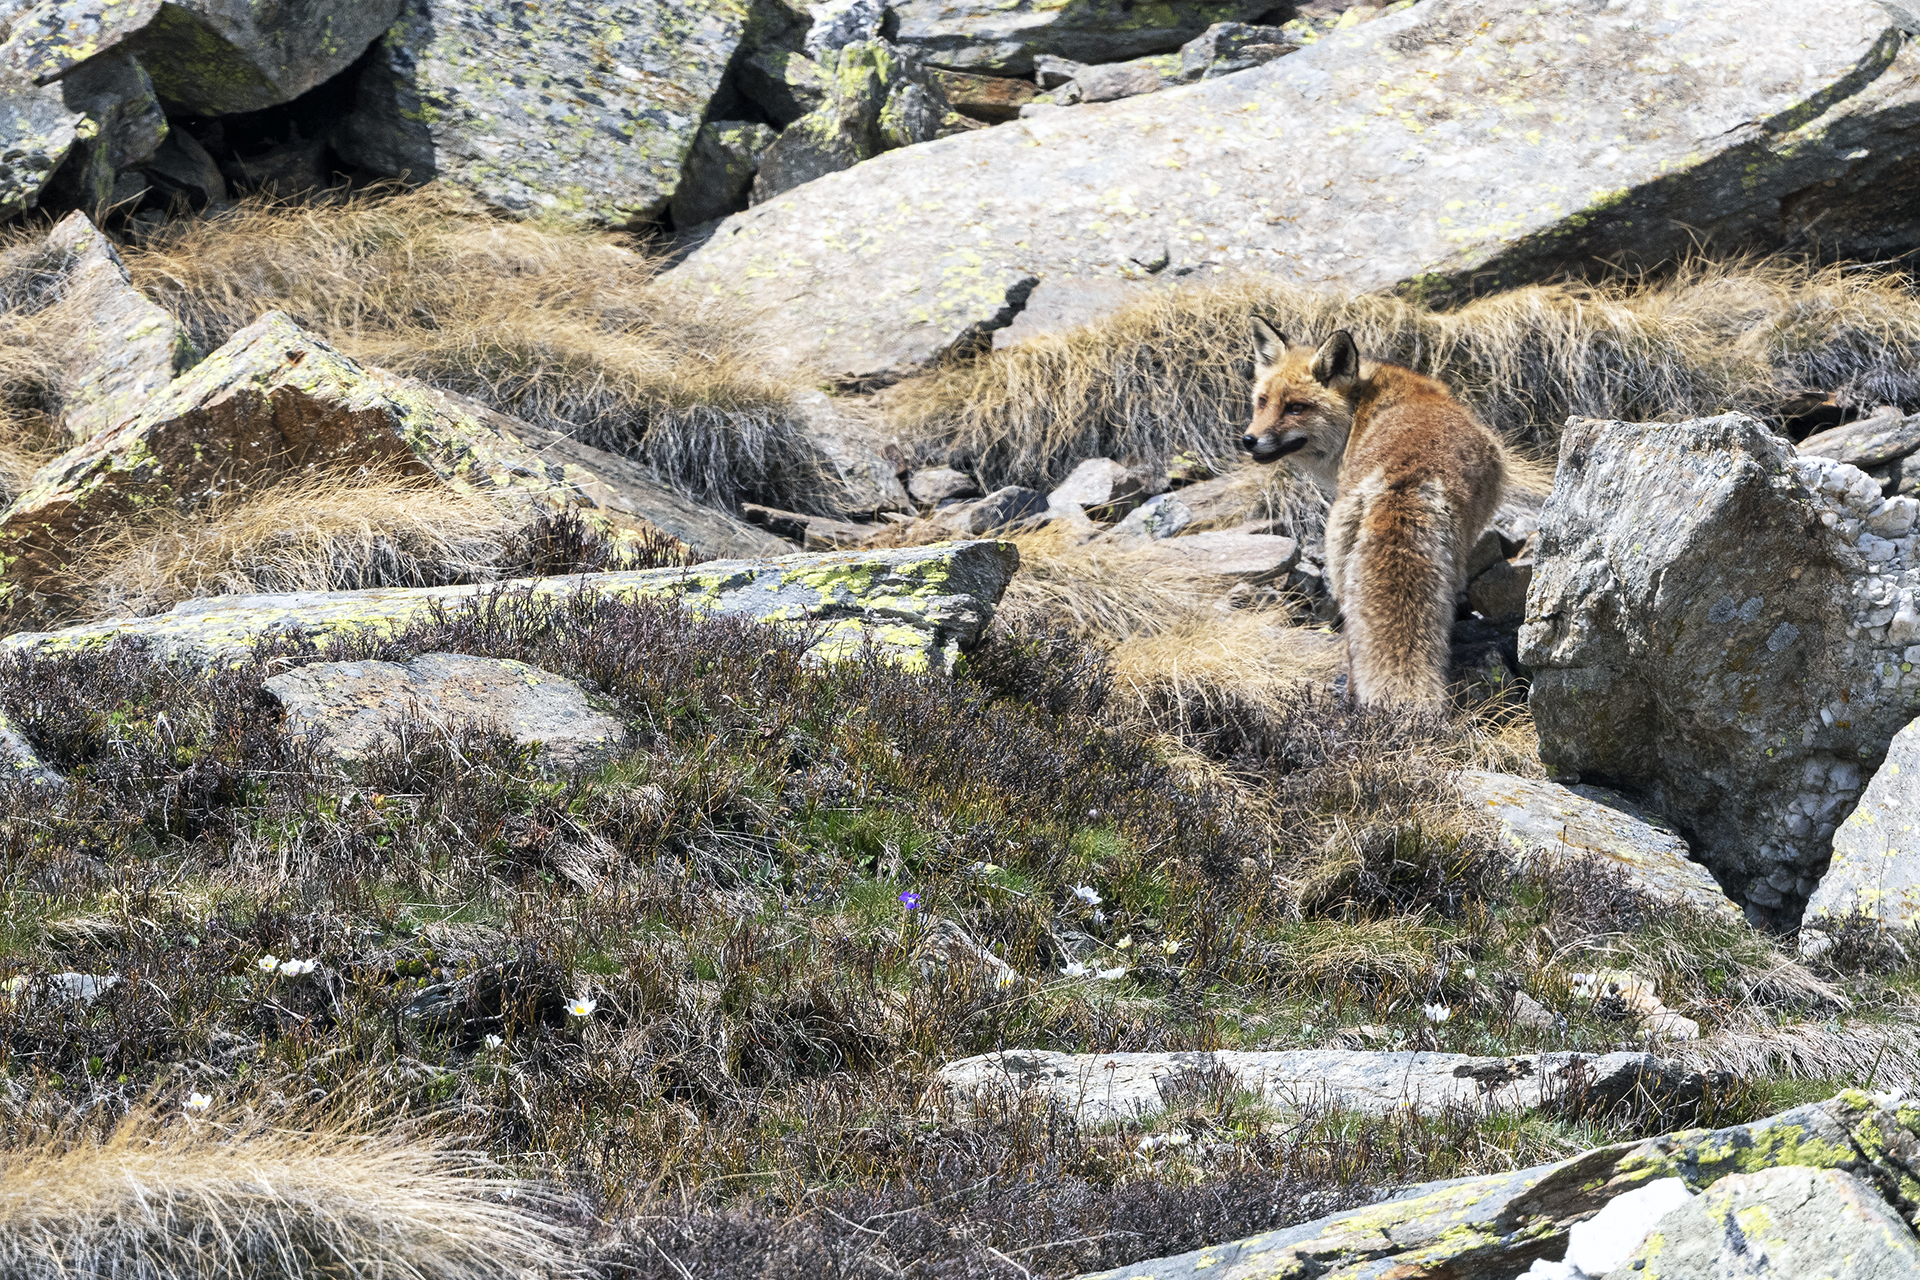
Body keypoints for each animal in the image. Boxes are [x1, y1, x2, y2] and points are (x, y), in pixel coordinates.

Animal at [1240, 320, 1506, 710]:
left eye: (1296, 408)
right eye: (1262, 402)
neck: (1361, 409)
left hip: (1341, 568)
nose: (1249, 440)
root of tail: (1406, 477)